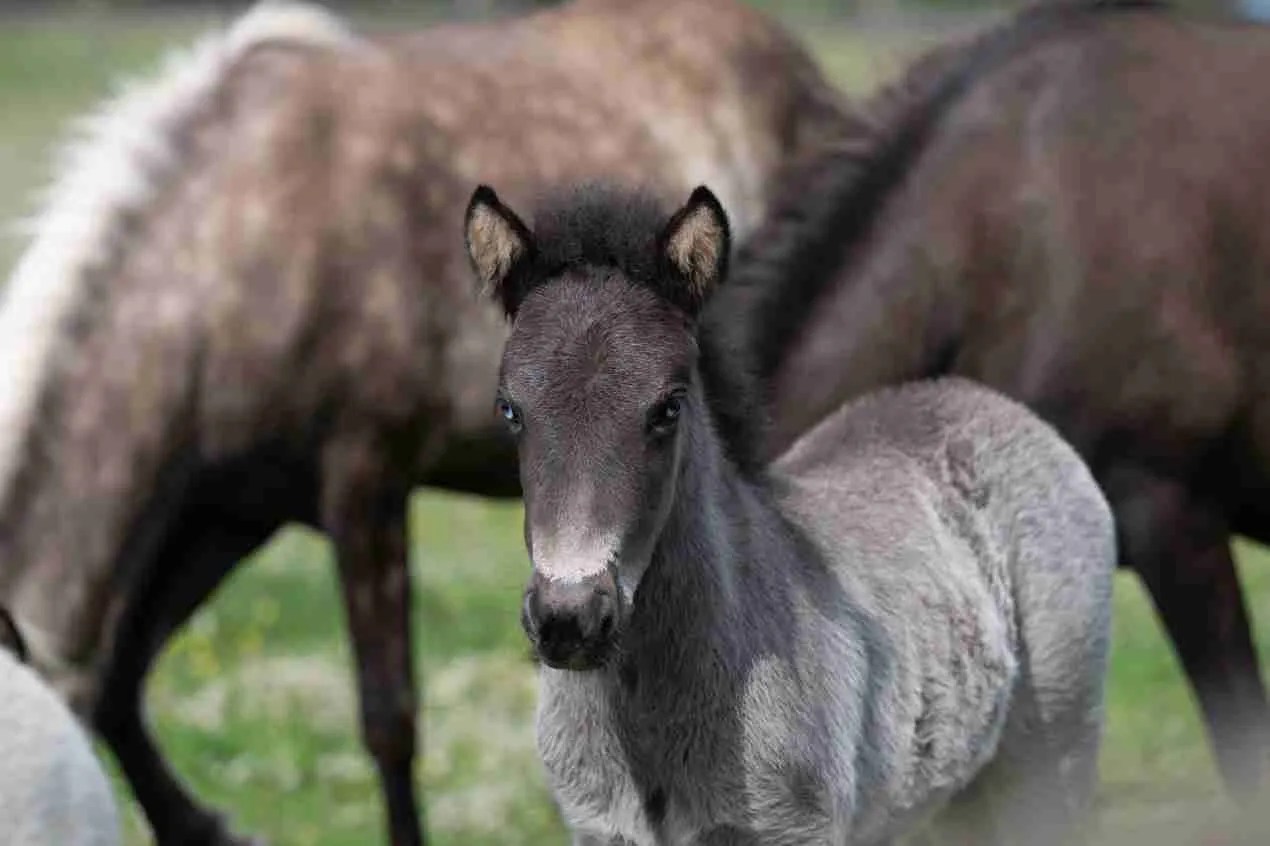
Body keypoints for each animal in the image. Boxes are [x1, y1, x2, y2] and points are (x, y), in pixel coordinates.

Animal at [463, 181, 1116, 845]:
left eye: (668, 407)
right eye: (510, 409)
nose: (569, 619)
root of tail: (990, 404)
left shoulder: (797, 827)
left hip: (1052, 760)